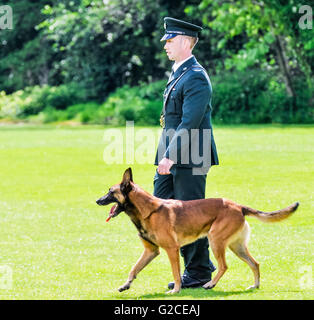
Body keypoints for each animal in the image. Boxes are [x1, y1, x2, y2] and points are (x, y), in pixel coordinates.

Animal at [95, 169, 300, 294]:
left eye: (111, 192)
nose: (97, 200)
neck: (148, 211)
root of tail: (238, 206)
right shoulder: (150, 251)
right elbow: (134, 268)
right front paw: (126, 284)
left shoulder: (172, 250)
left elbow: (176, 273)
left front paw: (176, 290)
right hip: (237, 247)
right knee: (255, 263)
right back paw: (255, 285)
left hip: (215, 240)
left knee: (224, 266)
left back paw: (210, 284)